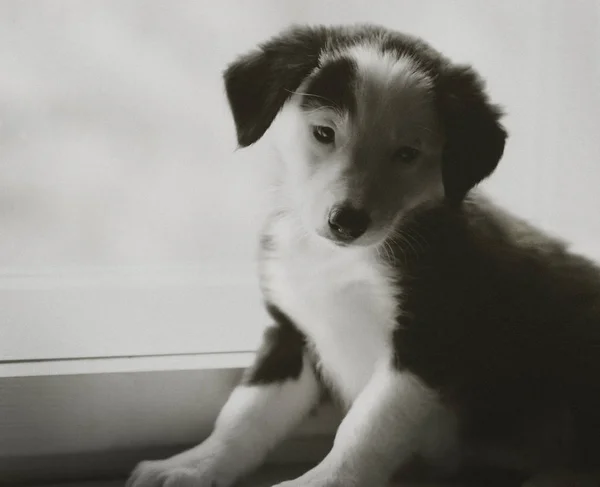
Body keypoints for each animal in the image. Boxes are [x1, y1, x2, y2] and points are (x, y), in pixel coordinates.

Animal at [126, 23, 600, 487]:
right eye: (324, 133)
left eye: (407, 154)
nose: (346, 222)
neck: (338, 259)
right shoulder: (292, 333)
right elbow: (244, 414)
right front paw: (193, 465)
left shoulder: (421, 345)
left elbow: (366, 429)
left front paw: (322, 480)